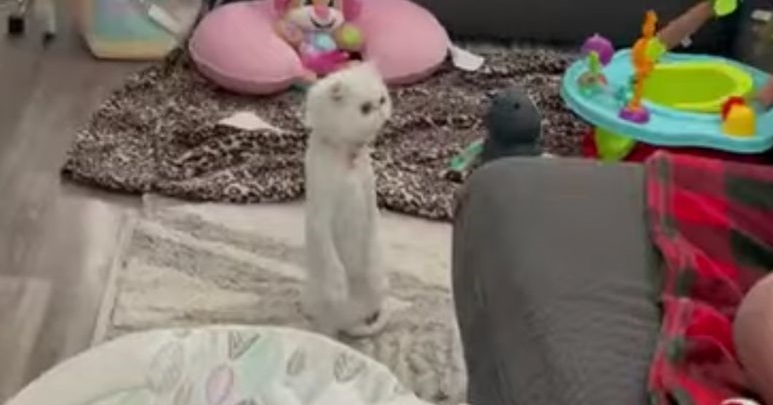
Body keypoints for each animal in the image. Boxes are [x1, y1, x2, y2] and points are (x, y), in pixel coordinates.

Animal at [302, 63, 392, 337]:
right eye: (365, 108)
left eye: (382, 99)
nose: (381, 111)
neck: (347, 159)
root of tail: (349, 321)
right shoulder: (319, 218)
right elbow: (331, 259)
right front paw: (339, 285)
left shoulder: (371, 207)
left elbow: (372, 245)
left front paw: (375, 275)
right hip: (319, 307)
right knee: (327, 329)